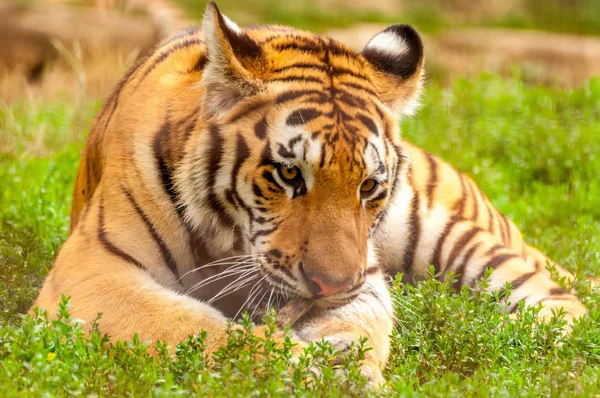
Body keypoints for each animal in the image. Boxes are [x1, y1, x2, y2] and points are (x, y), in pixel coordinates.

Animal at [32, 2, 592, 386]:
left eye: (369, 186)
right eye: (287, 174)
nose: (330, 285)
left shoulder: (366, 275)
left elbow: (361, 322)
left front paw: (347, 366)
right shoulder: (94, 268)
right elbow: (195, 328)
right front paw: (305, 369)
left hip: (445, 234)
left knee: (561, 299)